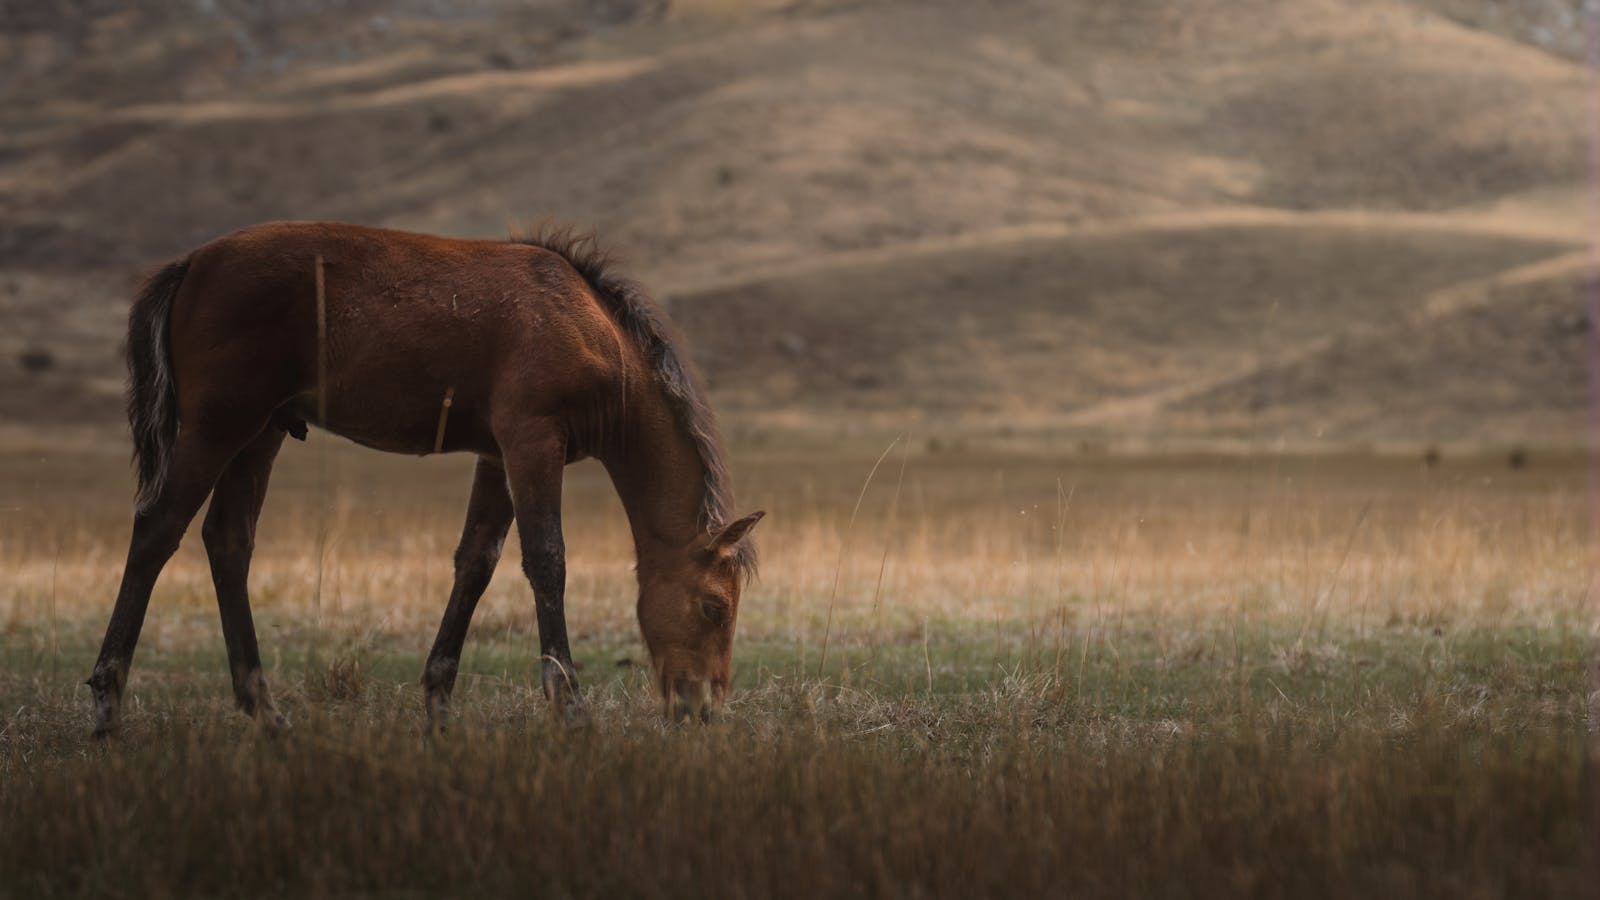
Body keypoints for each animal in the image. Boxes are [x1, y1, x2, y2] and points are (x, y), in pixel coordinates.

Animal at [86, 220, 761, 733]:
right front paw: (569, 705)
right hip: (219, 427)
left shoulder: (497, 456)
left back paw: (265, 710)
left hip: (262, 434)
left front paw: (438, 701)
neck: (593, 333)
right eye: (713, 608)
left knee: (228, 542)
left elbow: (476, 564)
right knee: (157, 530)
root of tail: (192, 263)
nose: (702, 708)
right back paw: (109, 704)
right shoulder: (532, 440)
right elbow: (547, 559)